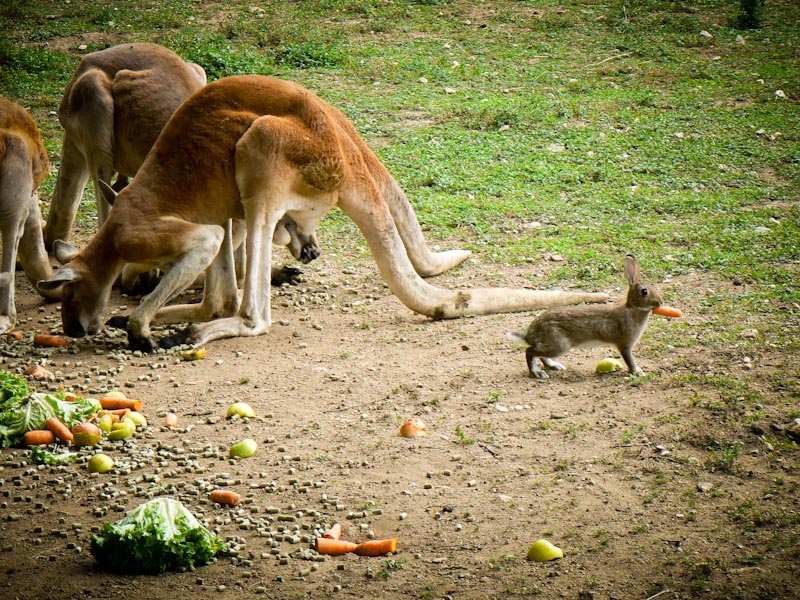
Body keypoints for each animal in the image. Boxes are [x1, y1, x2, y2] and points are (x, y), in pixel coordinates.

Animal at [507, 254, 664, 378]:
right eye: (644, 292)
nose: (661, 302)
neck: (633, 309)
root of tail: (531, 334)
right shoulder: (624, 344)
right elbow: (629, 360)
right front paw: (638, 372)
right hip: (560, 345)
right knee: (529, 351)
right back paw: (537, 373)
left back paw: (554, 366)